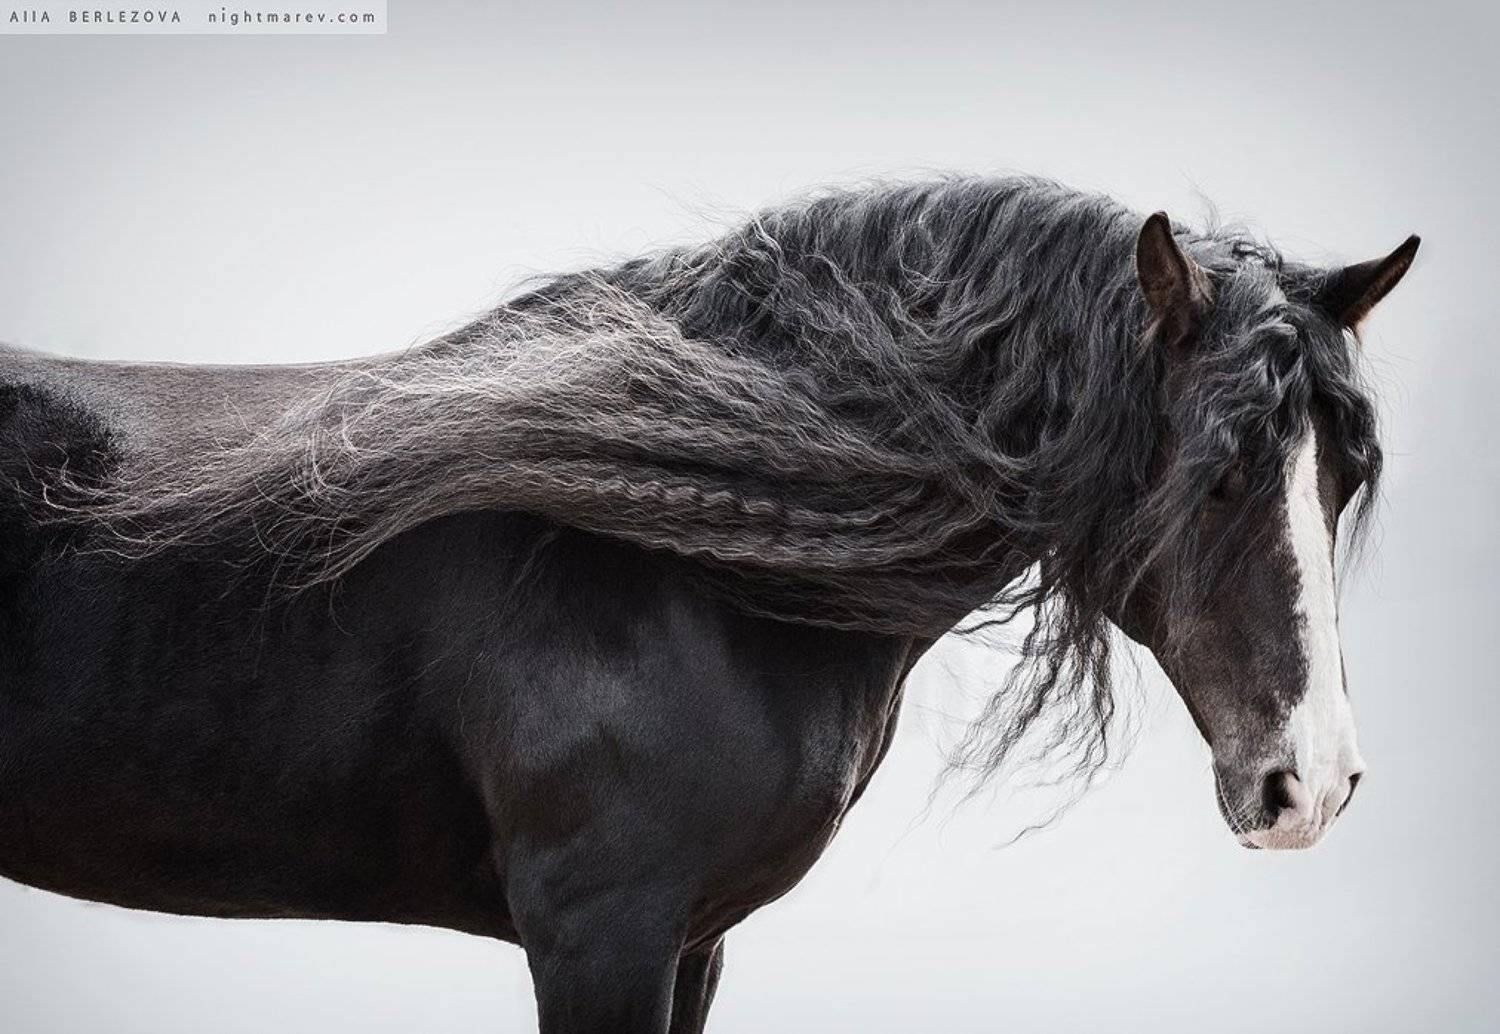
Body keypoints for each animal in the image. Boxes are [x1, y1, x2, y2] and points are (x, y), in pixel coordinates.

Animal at [0, 176, 1417, 1032]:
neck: (682, 547)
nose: (1313, 780)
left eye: (1345, 472)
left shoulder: (693, 940)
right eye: (1216, 475)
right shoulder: (601, 936)